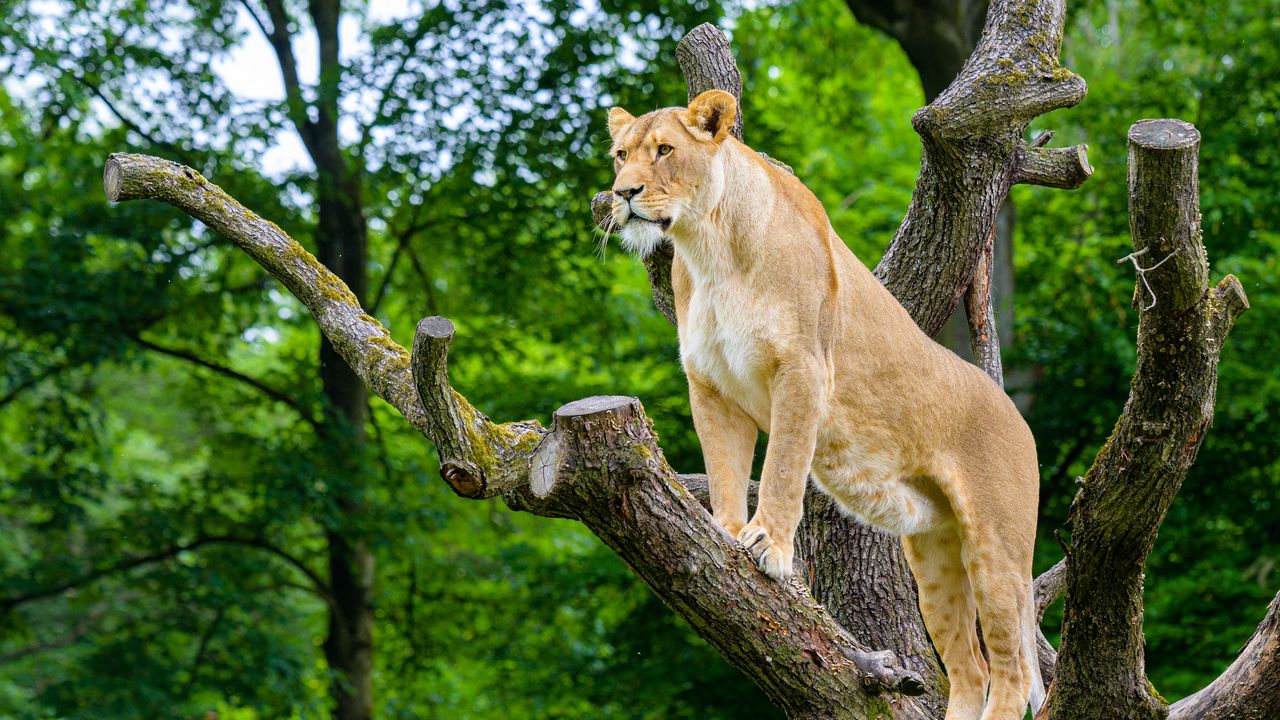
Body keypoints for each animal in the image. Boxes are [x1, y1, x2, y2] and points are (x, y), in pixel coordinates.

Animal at [606, 89, 1044, 720]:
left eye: (664, 150)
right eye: (620, 156)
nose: (622, 193)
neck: (708, 248)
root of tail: (1017, 415)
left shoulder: (803, 371)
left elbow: (783, 466)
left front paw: (767, 545)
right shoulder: (710, 385)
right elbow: (725, 471)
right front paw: (724, 534)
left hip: (997, 548)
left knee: (1010, 673)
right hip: (935, 554)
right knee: (970, 669)